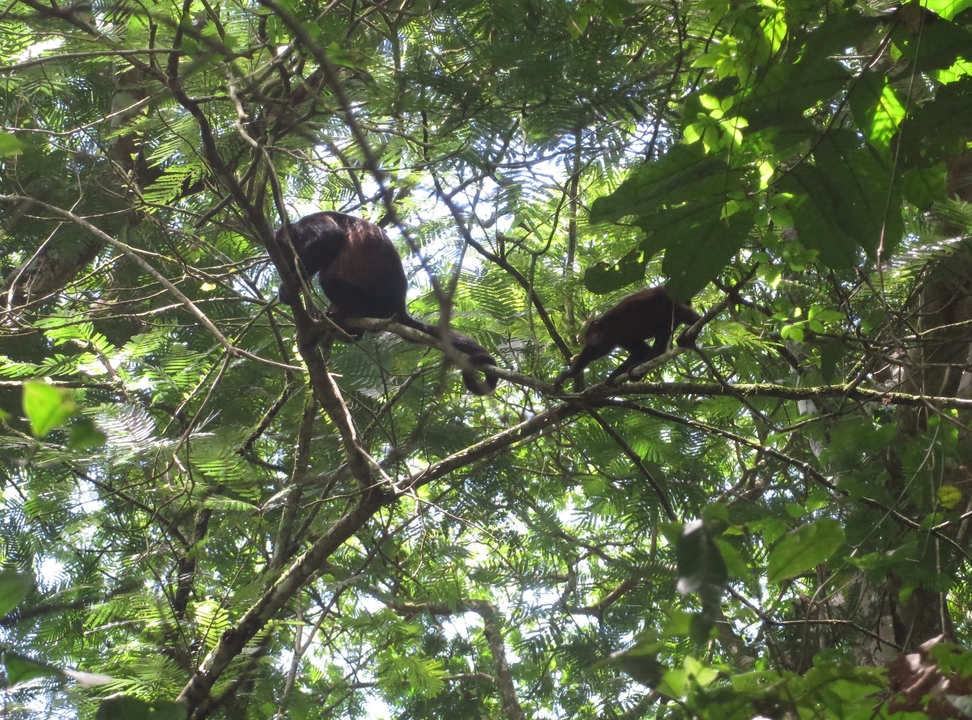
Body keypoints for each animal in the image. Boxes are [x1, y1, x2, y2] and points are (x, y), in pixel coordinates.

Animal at [275, 212, 498, 395]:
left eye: (284, 250)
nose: (283, 259)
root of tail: (398, 307)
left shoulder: (313, 223)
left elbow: (329, 237)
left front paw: (290, 285)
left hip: (371, 301)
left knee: (328, 278)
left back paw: (347, 312)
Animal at [554, 286, 701, 390]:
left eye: (589, 335)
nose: (587, 340)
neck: (602, 325)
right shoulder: (618, 338)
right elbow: (642, 350)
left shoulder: (614, 331)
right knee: (662, 338)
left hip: (671, 301)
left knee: (684, 313)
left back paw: (696, 324)